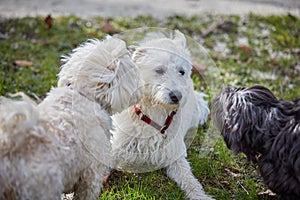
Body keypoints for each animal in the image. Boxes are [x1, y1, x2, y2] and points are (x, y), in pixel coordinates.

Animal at [110, 30, 213, 199]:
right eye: (159, 70)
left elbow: (190, 181)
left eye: (181, 71)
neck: (154, 111)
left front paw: (200, 195)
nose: (177, 96)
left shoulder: (175, 158)